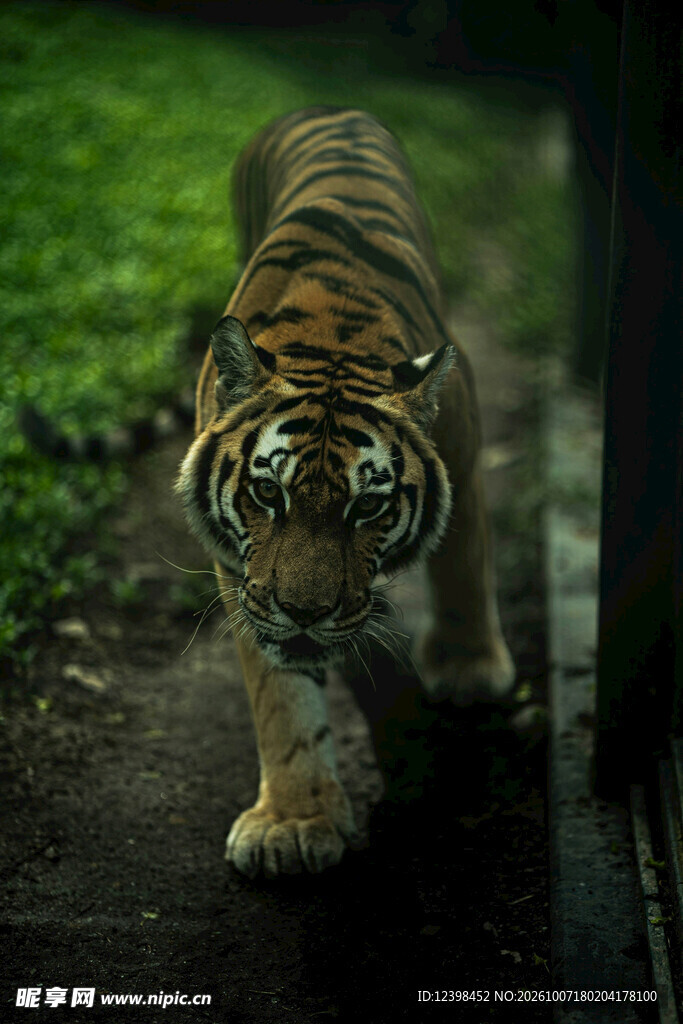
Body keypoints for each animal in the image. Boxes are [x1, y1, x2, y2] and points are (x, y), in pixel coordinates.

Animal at [176, 106, 515, 879]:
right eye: (267, 493)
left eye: (369, 506)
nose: (306, 614)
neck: (328, 338)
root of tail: (327, 108)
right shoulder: (241, 570)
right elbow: (278, 692)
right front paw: (293, 822)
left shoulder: (462, 436)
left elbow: (466, 556)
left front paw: (470, 668)